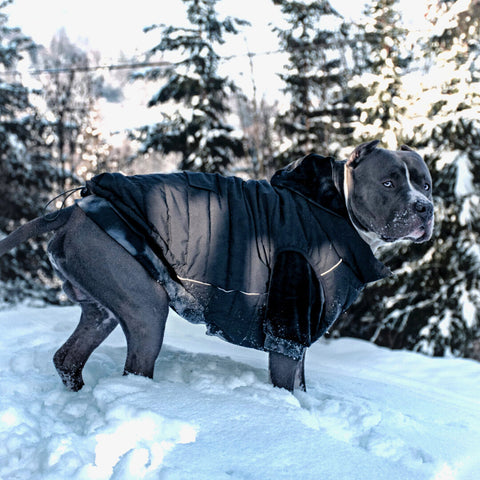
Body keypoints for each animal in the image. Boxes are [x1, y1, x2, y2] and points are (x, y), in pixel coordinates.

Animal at [0, 141, 436, 392]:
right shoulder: (288, 326)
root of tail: (75, 209)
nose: (425, 209)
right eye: (389, 183)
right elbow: (289, 387)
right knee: (134, 364)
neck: (335, 211)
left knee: (68, 358)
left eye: (426, 183)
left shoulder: (300, 331)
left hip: (100, 309)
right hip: (145, 307)